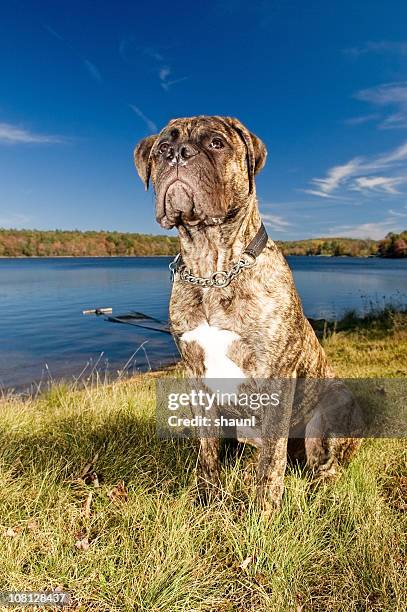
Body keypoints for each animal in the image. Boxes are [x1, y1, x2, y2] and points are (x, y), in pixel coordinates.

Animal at [135, 115, 362, 512]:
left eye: (216, 143)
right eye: (162, 148)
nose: (177, 154)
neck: (213, 267)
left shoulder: (276, 378)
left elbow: (271, 456)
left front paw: (263, 511)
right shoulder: (196, 376)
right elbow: (207, 448)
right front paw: (207, 497)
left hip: (331, 413)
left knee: (324, 468)